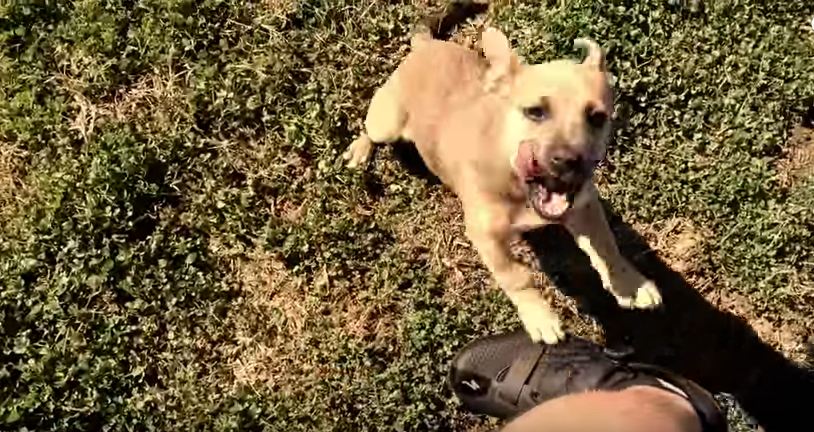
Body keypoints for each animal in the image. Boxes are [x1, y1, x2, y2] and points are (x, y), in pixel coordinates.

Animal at [344, 27, 664, 344]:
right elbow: (516, 276)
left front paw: (629, 283)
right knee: (369, 130)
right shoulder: (486, 236)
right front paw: (540, 317)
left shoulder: (585, 207)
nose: (567, 160)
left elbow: (606, 245)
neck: (516, 183)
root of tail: (423, 44)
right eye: (535, 111)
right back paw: (359, 151)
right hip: (386, 122)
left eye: (597, 118)